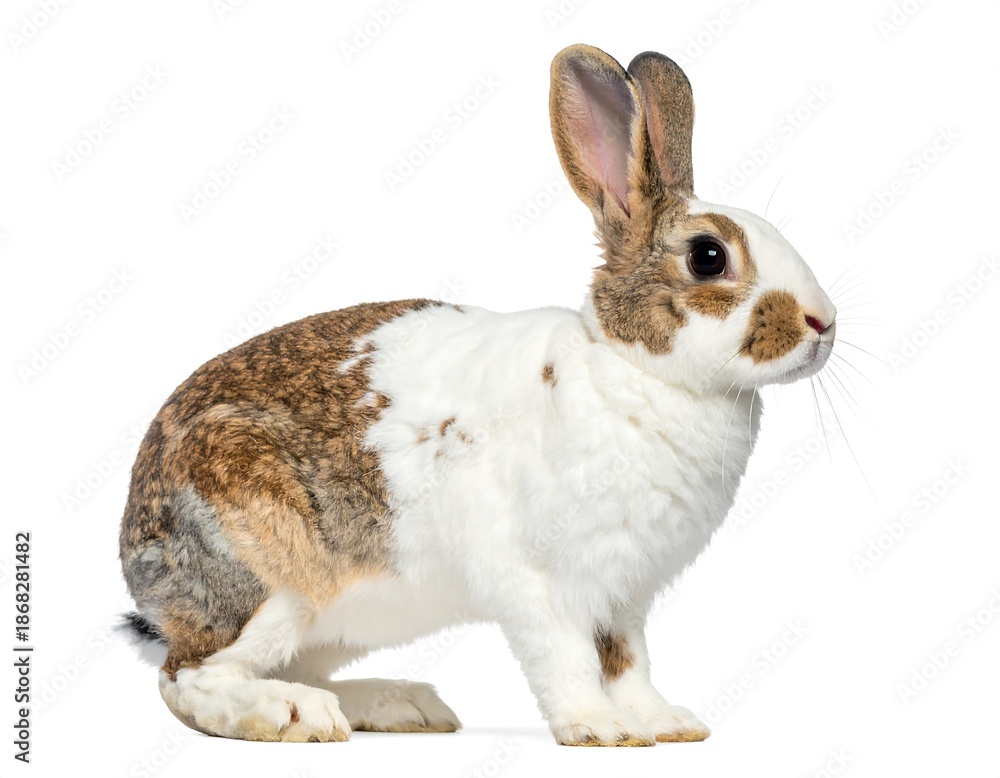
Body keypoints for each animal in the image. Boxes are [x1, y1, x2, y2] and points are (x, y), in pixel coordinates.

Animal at [119, 43, 836, 746]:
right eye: (708, 257)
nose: (823, 323)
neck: (632, 367)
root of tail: (134, 546)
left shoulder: (624, 595)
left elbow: (628, 662)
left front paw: (667, 726)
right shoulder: (534, 577)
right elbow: (566, 657)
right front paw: (599, 729)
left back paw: (400, 705)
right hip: (274, 580)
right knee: (189, 676)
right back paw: (295, 715)